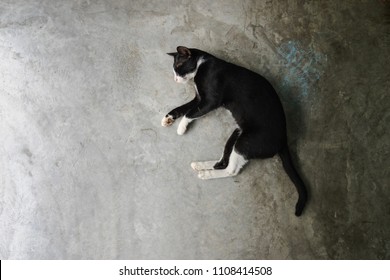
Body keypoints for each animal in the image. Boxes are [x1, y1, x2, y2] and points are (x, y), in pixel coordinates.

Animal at [161, 46, 308, 217]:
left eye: (178, 67)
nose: (175, 80)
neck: (202, 65)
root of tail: (284, 139)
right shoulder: (199, 99)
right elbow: (183, 107)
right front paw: (168, 118)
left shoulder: (210, 101)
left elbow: (190, 113)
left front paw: (181, 127)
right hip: (236, 135)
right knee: (223, 161)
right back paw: (201, 165)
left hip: (245, 143)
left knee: (231, 170)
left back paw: (206, 174)